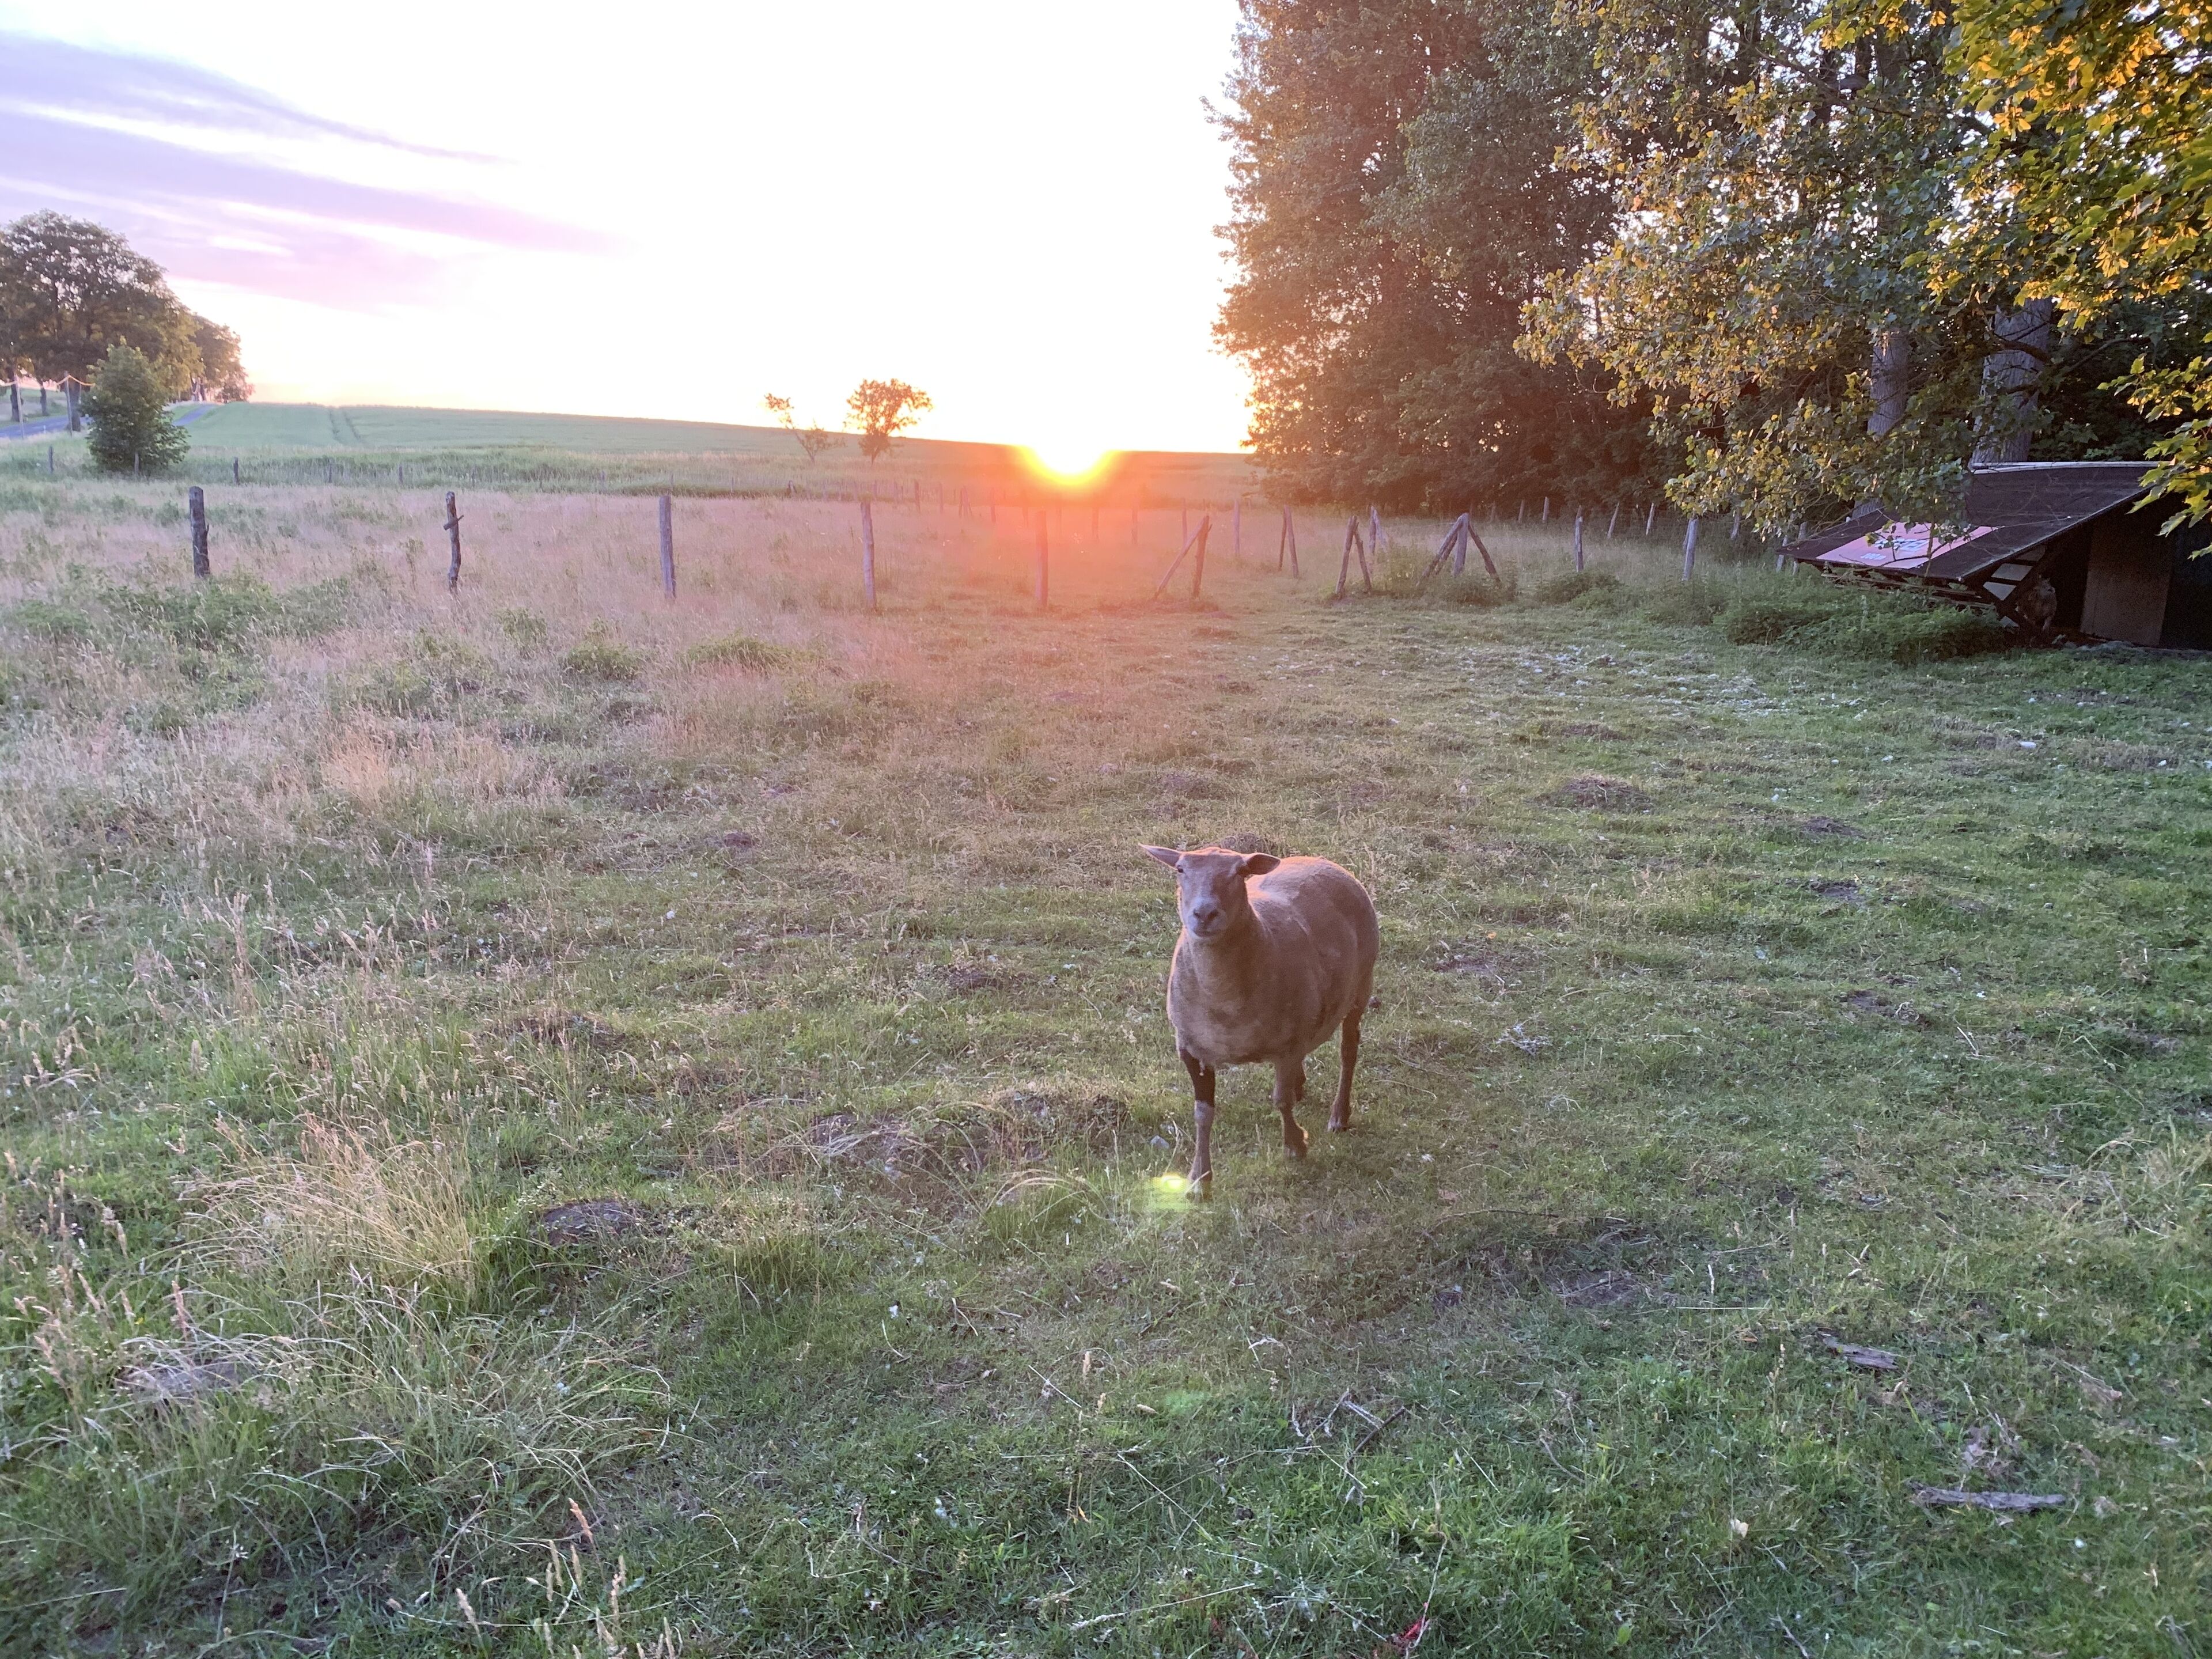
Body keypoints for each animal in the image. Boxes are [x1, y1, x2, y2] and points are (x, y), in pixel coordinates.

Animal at [1140, 844, 1380, 1193]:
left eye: (1240, 872)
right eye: (1180, 870)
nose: (1205, 914)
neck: (1225, 1003)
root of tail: (1320, 860)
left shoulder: (1287, 1046)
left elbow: (1280, 1101)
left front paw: (1295, 1146)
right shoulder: (1190, 1047)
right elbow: (1203, 1114)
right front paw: (1199, 1180)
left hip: (1362, 984)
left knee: (1348, 1052)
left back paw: (1339, 1116)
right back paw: (1301, 1085)